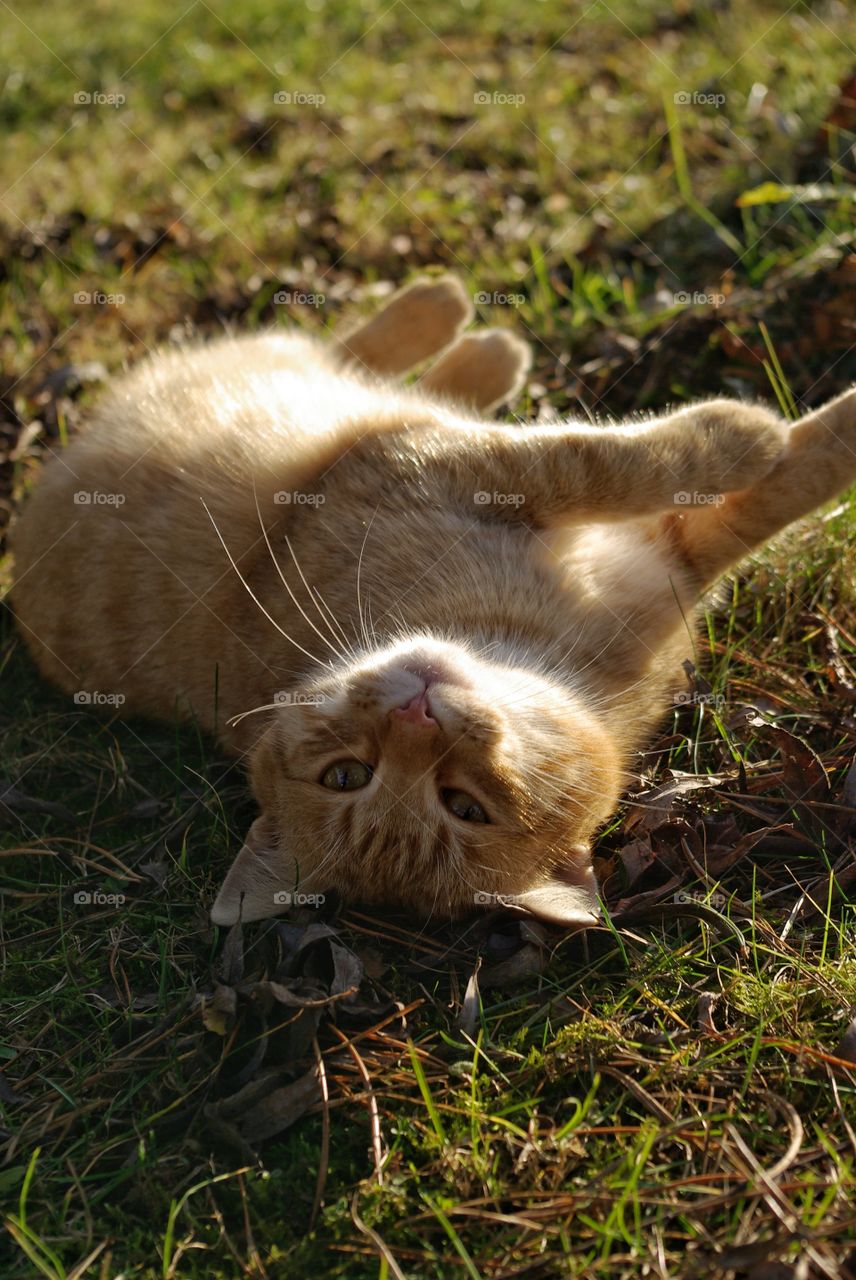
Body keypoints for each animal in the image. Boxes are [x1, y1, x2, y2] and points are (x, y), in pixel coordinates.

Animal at [8, 277, 854, 921]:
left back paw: (466, 333)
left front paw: (813, 439)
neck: (543, 646)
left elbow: (777, 490)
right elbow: (610, 459)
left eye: (465, 804)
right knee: (340, 356)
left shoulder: (669, 549)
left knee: (353, 357)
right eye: (350, 776)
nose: (417, 714)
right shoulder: (438, 463)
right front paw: (745, 430)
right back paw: (459, 323)